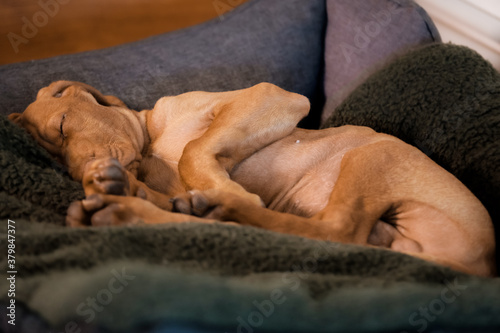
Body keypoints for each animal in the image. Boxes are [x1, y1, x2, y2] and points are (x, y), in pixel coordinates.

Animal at [8, 81, 496, 276]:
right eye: (55, 159)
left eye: (63, 126)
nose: (81, 173)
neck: (151, 145)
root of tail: (481, 264)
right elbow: (172, 185)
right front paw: (114, 183)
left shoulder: (273, 96)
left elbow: (194, 150)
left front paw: (222, 186)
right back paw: (119, 209)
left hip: (376, 152)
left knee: (338, 230)